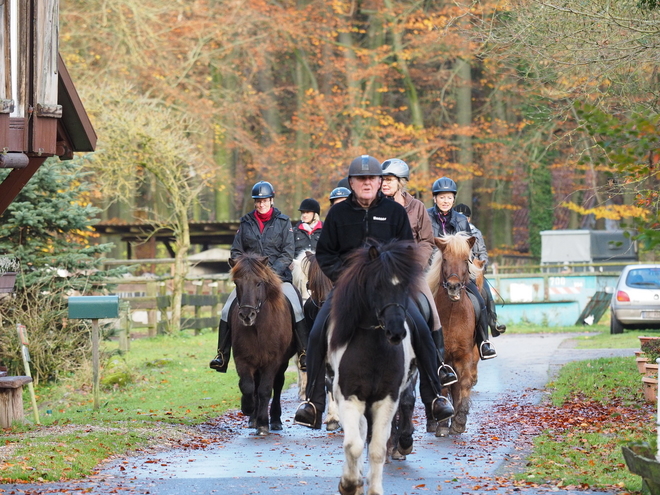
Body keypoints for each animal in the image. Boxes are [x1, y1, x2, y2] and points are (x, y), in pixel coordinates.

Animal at [229, 254, 296, 436]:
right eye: (237, 283)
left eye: (259, 283)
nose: (247, 315)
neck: (258, 328)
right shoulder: (242, 359)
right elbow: (247, 386)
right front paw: (248, 409)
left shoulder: (273, 360)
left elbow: (265, 390)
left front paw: (263, 425)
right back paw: (253, 418)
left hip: (282, 362)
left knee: (277, 385)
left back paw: (275, 421)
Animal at [326, 241, 422, 495]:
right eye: (377, 285)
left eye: (405, 286)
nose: (396, 331)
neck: (373, 351)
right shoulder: (349, 397)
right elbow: (353, 444)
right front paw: (349, 483)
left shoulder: (386, 399)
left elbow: (378, 449)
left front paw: (372, 488)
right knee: (358, 435)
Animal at [426, 234, 482, 436]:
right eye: (445, 260)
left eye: (466, 260)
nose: (453, 286)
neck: (452, 314)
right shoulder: (440, 357)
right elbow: (443, 387)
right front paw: (443, 424)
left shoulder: (465, 355)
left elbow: (464, 383)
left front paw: (459, 420)